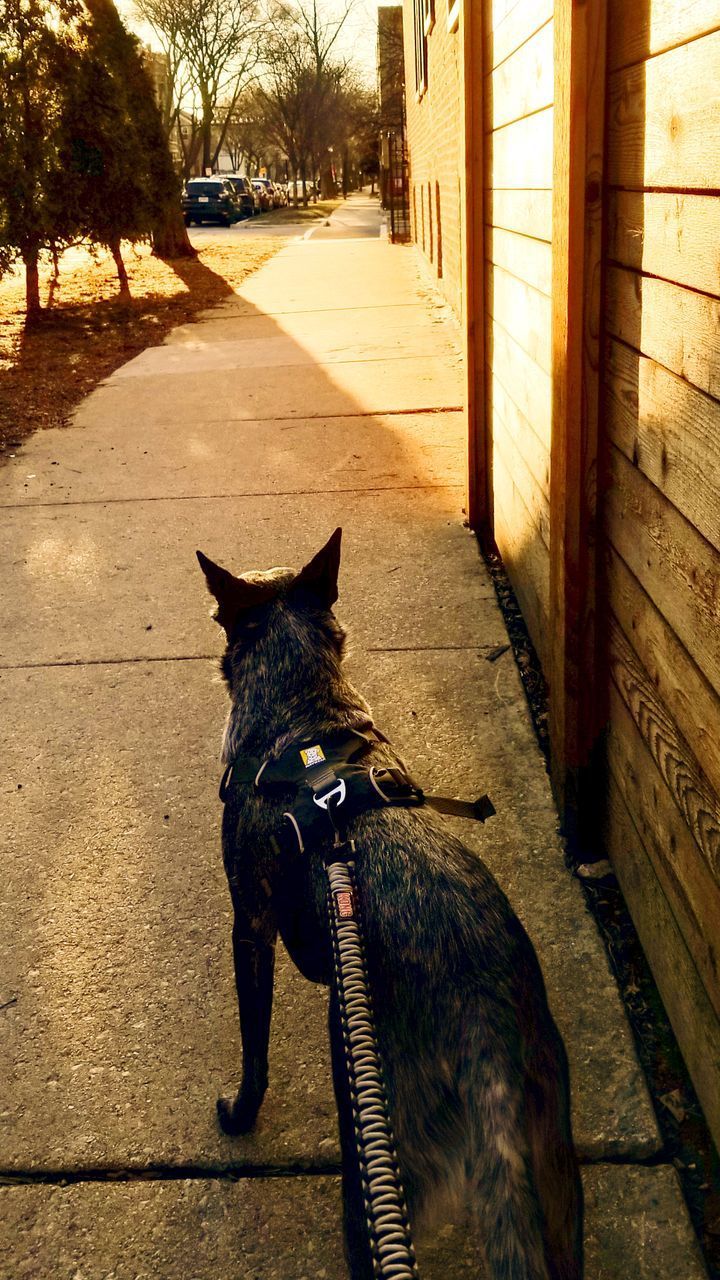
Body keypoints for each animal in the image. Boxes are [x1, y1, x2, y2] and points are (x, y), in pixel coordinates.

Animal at [197, 529, 584, 1280]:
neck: (303, 717)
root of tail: (483, 1034)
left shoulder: (249, 925)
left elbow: (254, 1046)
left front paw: (239, 1114)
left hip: (375, 1173)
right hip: (556, 1182)